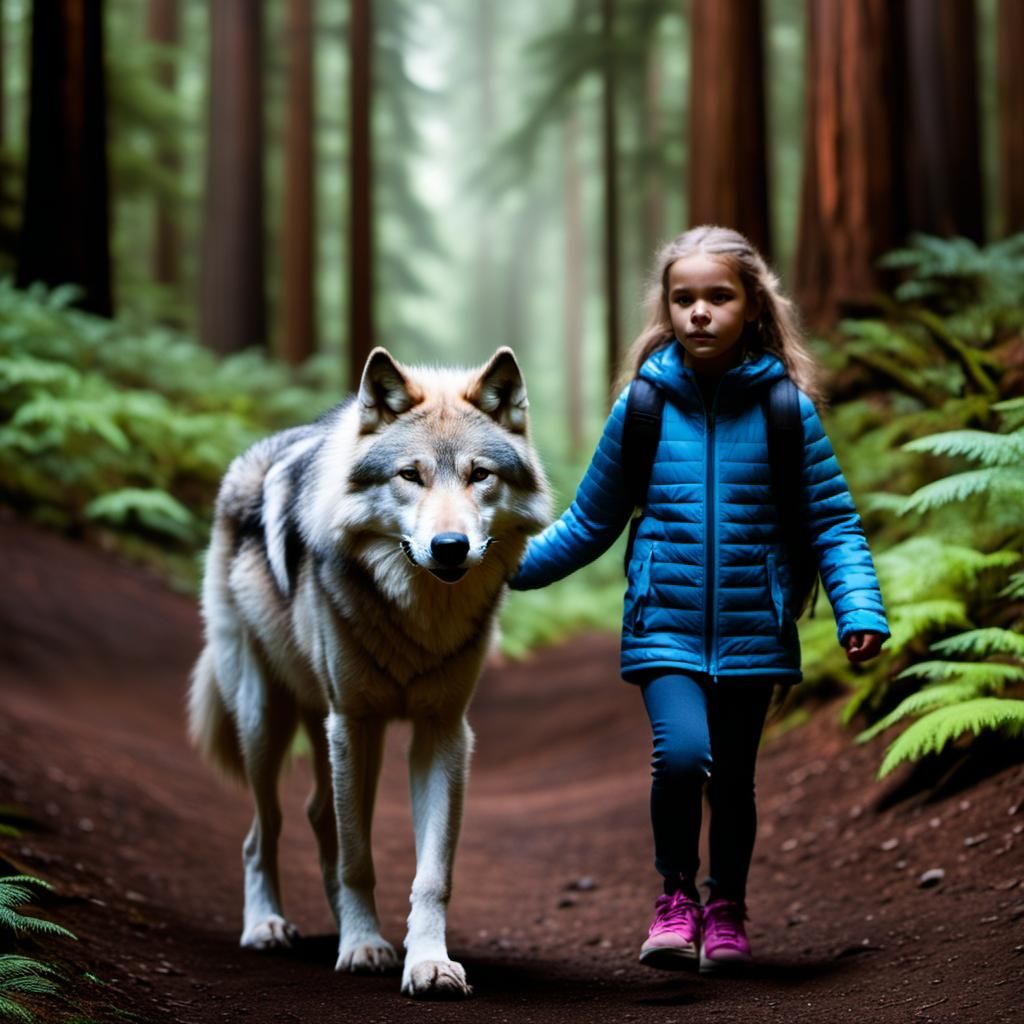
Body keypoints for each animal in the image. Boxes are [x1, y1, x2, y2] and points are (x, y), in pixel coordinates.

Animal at [188, 347, 550, 998]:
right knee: (263, 833)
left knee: (316, 815)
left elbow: (431, 874)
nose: (450, 546)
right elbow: (358, 859)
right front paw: (361, 947)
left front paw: (427, 961)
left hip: (345, 731)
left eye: (480, 475)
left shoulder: (442, 733)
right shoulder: (353, 722)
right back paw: (266, 926)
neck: (420, 615)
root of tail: (251, 457)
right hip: (268, 723)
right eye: (410, 476)